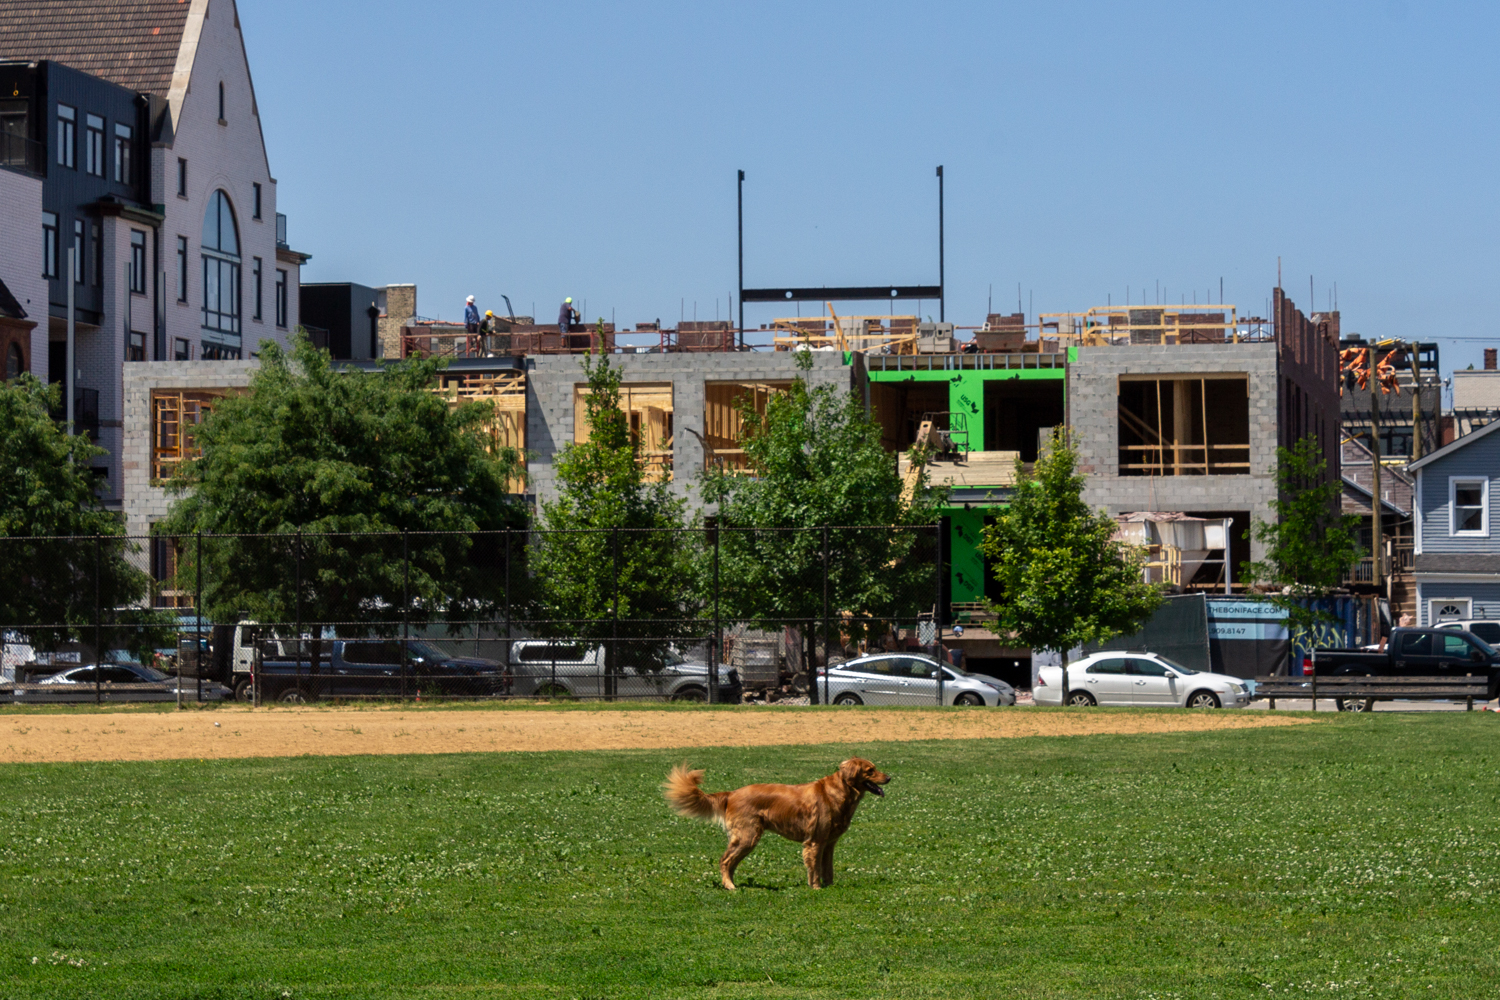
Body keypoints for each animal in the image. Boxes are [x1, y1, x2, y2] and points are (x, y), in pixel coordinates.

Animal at [660, 758, 888, 893]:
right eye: (870, 770)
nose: (890, 777)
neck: (840, 792)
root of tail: (731, 794)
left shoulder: (828, 843)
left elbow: (828, 869)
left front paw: (829, 886)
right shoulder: (814, 842)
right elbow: (814, 869)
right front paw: (815, 888)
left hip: (747, 840)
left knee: (730, 863)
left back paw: (731, 884)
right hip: (748, 837)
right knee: (725, 861)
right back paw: (730, 886)